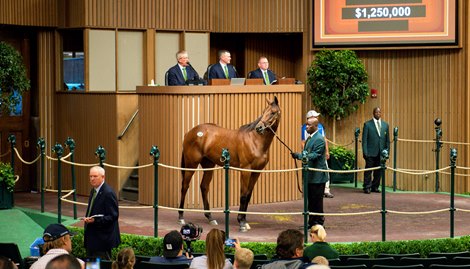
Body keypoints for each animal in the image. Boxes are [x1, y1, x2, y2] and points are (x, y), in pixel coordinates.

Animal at [178, 96, 280, 230]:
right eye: (263, 112)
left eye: (273, 112)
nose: (259, 128)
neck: (255, 141)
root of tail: (190, 132)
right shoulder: (246, 170)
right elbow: (243, 195)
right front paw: (241, 222)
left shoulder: (256, 172)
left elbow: (248, 195)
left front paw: (244, 220)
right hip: (191, 165)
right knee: (185, 186)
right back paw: (181, 217)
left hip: (208, 165)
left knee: (204, 187)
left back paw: (210, 218)